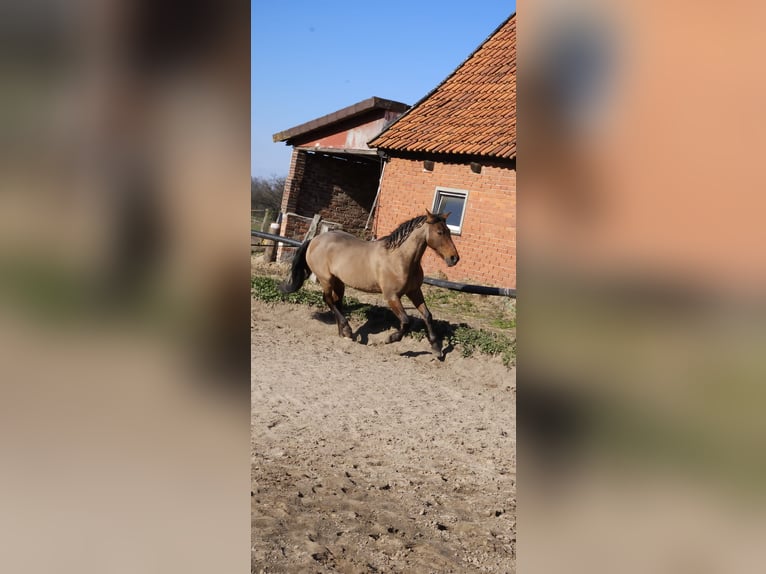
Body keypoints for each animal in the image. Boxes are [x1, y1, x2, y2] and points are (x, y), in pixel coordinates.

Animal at [280, 209, 460, 357]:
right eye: (439, 232)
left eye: (449, 231)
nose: (454, 258)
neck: (400, 259)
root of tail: (314, 240)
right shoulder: (391, 296)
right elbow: (406, 321)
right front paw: (390, 339)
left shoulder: (414, 291)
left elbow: (427, 316)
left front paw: (436, 348)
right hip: (326, 279)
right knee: (328, 300)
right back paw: (347, 329)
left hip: (339, 282)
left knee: (337, 303)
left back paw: (344, 333)